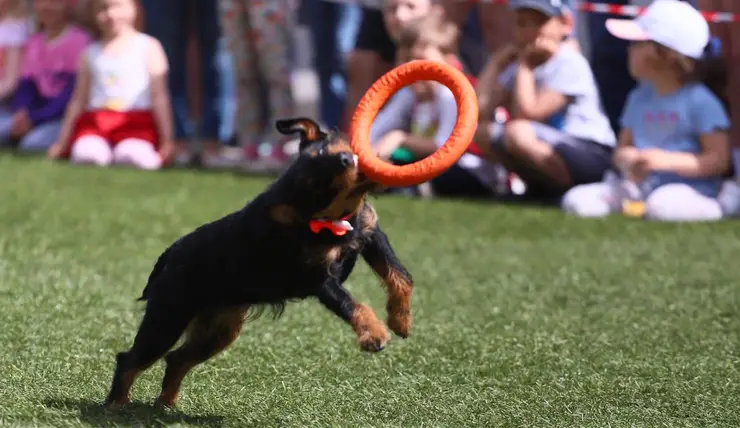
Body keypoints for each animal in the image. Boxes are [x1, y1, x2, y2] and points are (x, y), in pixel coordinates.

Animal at [102, 116, 416, 408]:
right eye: (320, 184)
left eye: (326, 148)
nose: (346, 159)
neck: (334, 220)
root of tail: (170, 254)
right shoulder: (318, 279)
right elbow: (351, 303)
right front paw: (374, 333)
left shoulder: (372, 235)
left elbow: (401, 276)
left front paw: (400, 320)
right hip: (167, 319)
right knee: (130, 358)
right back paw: (117, 404)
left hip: (219, 330)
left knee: (177, 358)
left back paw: (165, 403)